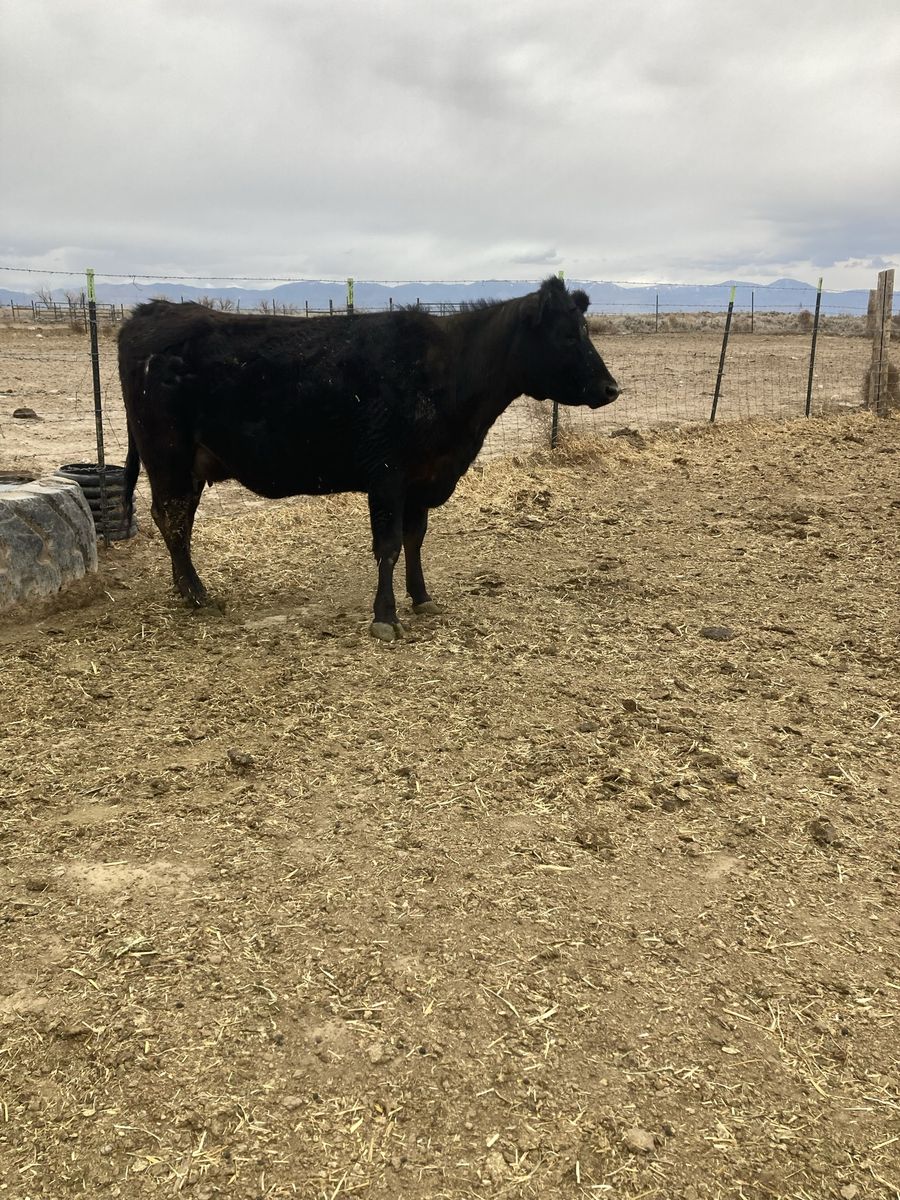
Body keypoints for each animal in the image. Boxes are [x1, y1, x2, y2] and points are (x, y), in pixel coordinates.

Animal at [118, 276, 619, 640]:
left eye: (584, 331)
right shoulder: (387, 475)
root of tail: (153, 310)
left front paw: (422, 598)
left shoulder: (423, 477)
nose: (611, 387)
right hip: (167, 456)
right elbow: (389, 546)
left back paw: (184, 588)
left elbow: (415, 540)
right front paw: (385, 617)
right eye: (567, 335)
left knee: (178, 520)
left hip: (189, 464)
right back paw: (197, 595)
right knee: (172, 519)